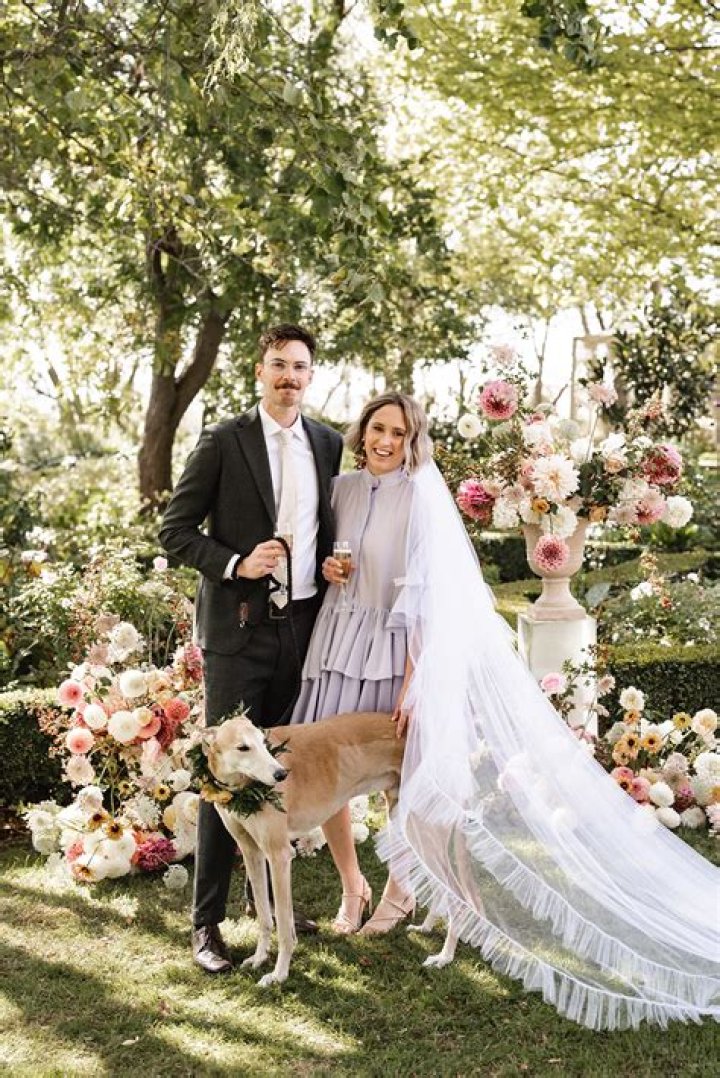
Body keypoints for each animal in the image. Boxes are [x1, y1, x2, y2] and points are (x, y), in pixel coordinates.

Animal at [201, 710, 406, 987]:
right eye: (243, 747)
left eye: (263, 743)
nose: (281, 775)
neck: (244, 787)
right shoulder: (251, 851)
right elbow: (265, 916)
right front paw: (259, 958)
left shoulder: (279, 856)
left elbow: (284, 926)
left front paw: (278, 974)